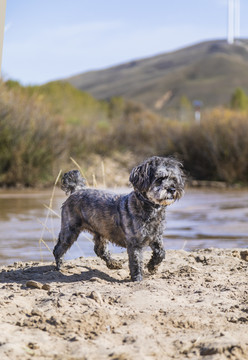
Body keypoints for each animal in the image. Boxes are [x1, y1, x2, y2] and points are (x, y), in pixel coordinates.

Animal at [54, 157, 186, 282]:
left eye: (174, 179)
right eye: (159, 179)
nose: (173, 189)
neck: (149, 208)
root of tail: (76, 190)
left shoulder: (156, 237)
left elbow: (161, 253)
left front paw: (152, 267)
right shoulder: (135, 244)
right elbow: (136, 262)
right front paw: (138, 278)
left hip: (101, 231)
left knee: (99, 250)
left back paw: (113, 264)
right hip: (70, 230)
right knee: (59, 248)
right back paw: (59, 266)